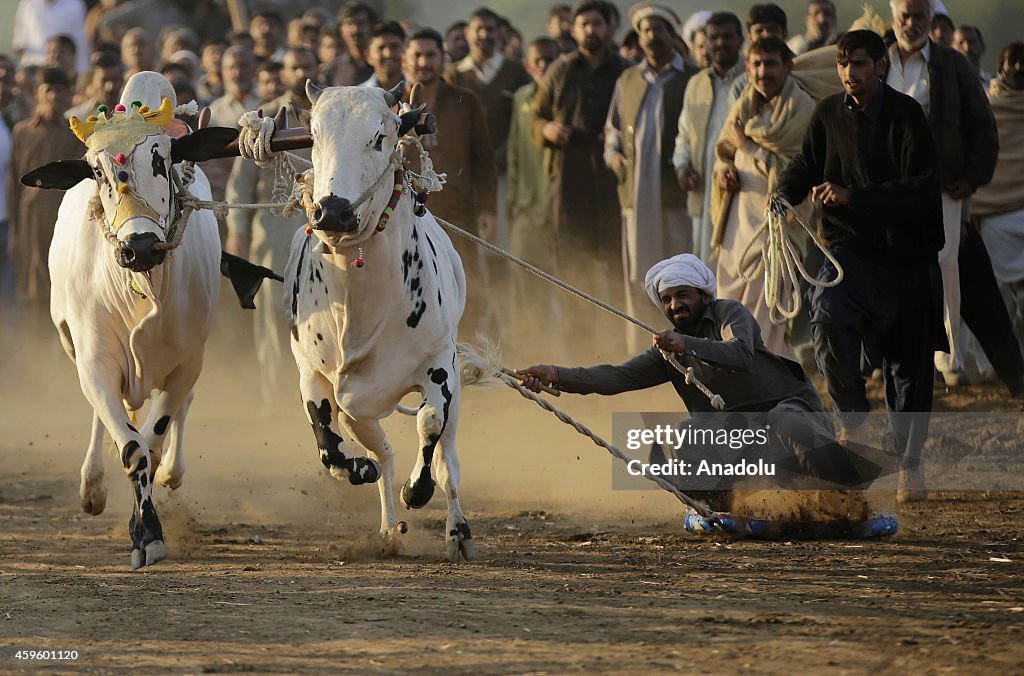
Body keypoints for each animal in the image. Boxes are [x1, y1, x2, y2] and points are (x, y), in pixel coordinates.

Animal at [24, 73, 238, 569]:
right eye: (98, 172)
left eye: (162, 159)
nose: (138, 247)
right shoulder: (94, 360)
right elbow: (131, 446)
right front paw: (145, 532)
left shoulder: (187, 361)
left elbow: (154, 441)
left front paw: (150, 524)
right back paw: (93, 485)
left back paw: (173, 473)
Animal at [284, 81, 475, 561]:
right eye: (313, 137)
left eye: (379, 137)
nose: (332, 211)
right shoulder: (314, 377)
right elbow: (329, 449)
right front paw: (360, 469)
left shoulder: (439, 367)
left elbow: (430, 427)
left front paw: (416, 491)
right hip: (359, 409)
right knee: (385, 451)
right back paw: (390, 528)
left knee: (449, 462)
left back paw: (457, 530)